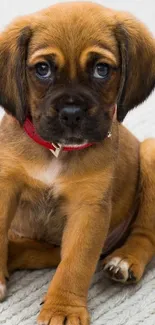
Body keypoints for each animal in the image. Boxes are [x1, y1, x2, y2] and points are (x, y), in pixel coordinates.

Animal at [0, 2, 155, 324]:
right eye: (43, 69)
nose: (71, 113)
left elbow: (75, 264)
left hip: (150, 152)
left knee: (146, 234)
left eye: (101, 70)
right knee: (38, 251)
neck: (56, 152)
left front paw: (62, 309)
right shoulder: (5, 187)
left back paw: (126, 259)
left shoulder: (88, 208)